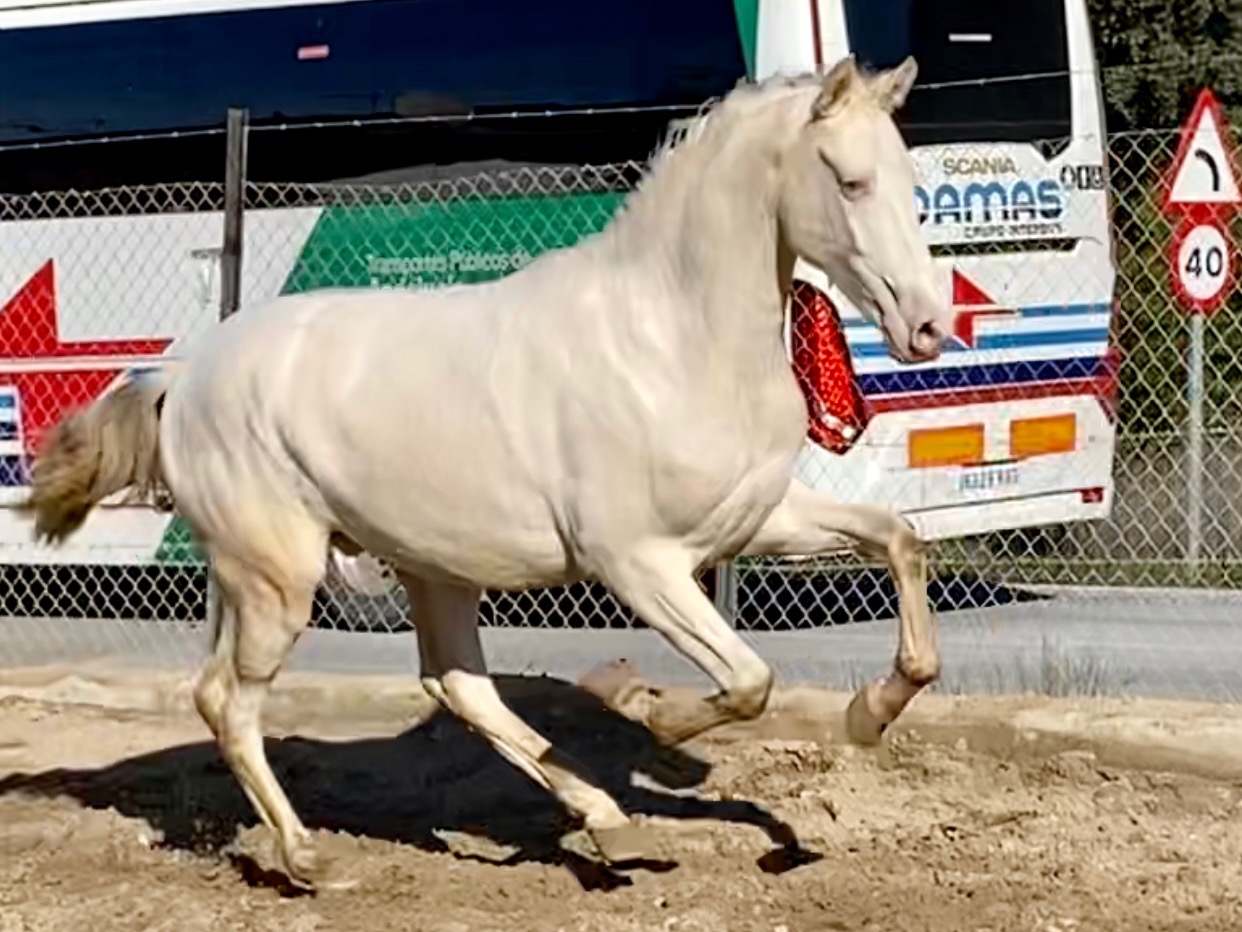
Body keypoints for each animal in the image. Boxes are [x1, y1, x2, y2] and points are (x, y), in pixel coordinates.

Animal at [19, 56, 948, 889]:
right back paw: (307, 858)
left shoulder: (759, 517)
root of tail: (184, 377)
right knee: (227, 700)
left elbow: (898, 542)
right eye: (851, 182)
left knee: (455, 683)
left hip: (432, 567)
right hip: (276, 575)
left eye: (909, 181)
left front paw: (871, 714)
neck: (670, 338)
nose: (929, 327)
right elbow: (750, 680)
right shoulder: (638, 563)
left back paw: (606, 823)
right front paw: (652, 712)